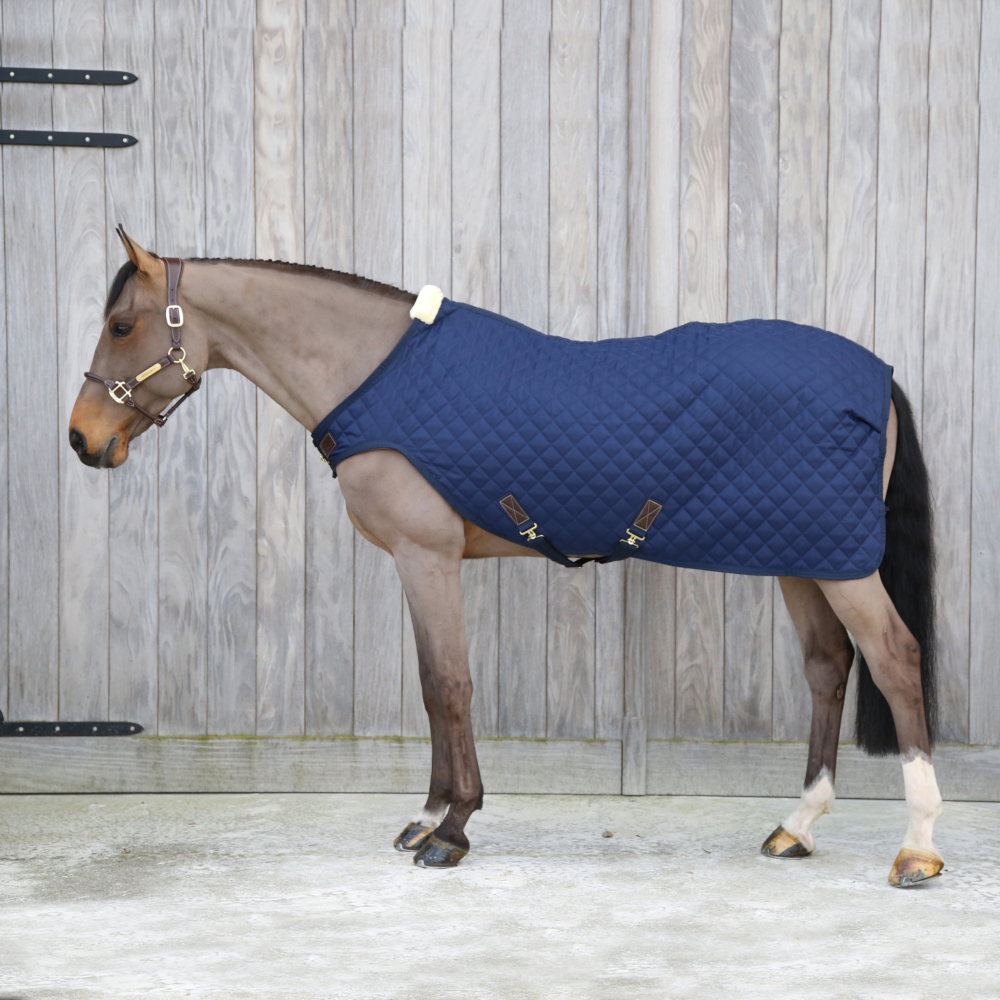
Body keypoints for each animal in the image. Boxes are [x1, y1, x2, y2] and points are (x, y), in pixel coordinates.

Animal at [69, 227, 944, 885]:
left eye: (122, 326)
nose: (83, 439)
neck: (375, 376)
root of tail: (878, 375)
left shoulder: (426, 557)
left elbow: (448, 686)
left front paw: (451, 831)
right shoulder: (418, 564)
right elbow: (433, 690)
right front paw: (426, 817)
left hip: (838, 563)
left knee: (894, 658)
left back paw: (919, 849)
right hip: (802, 552)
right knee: (829, 666)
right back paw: (797, 825)